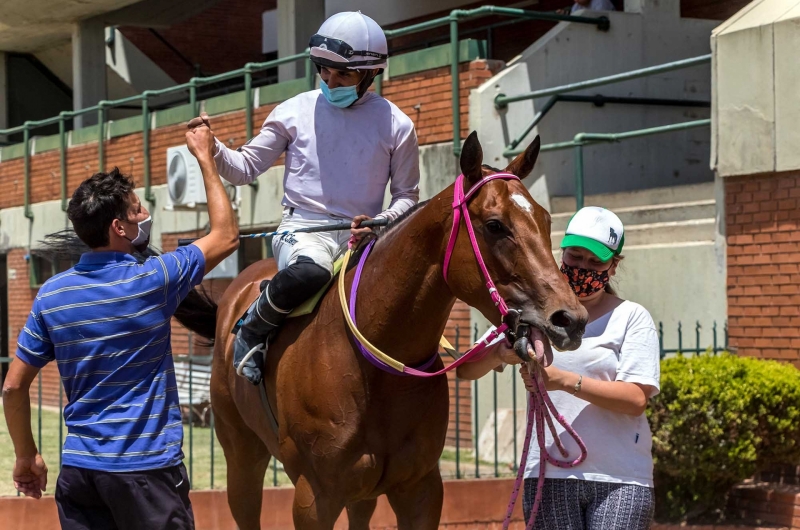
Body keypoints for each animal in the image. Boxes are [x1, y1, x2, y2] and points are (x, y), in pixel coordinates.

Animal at [177, 131, 588, 524]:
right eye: (495, 225)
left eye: (546, 219)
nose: (570, 319)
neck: (374, 364)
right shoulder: (315, 496)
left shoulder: (421, 489)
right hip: (241, 453)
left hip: (362, 492)